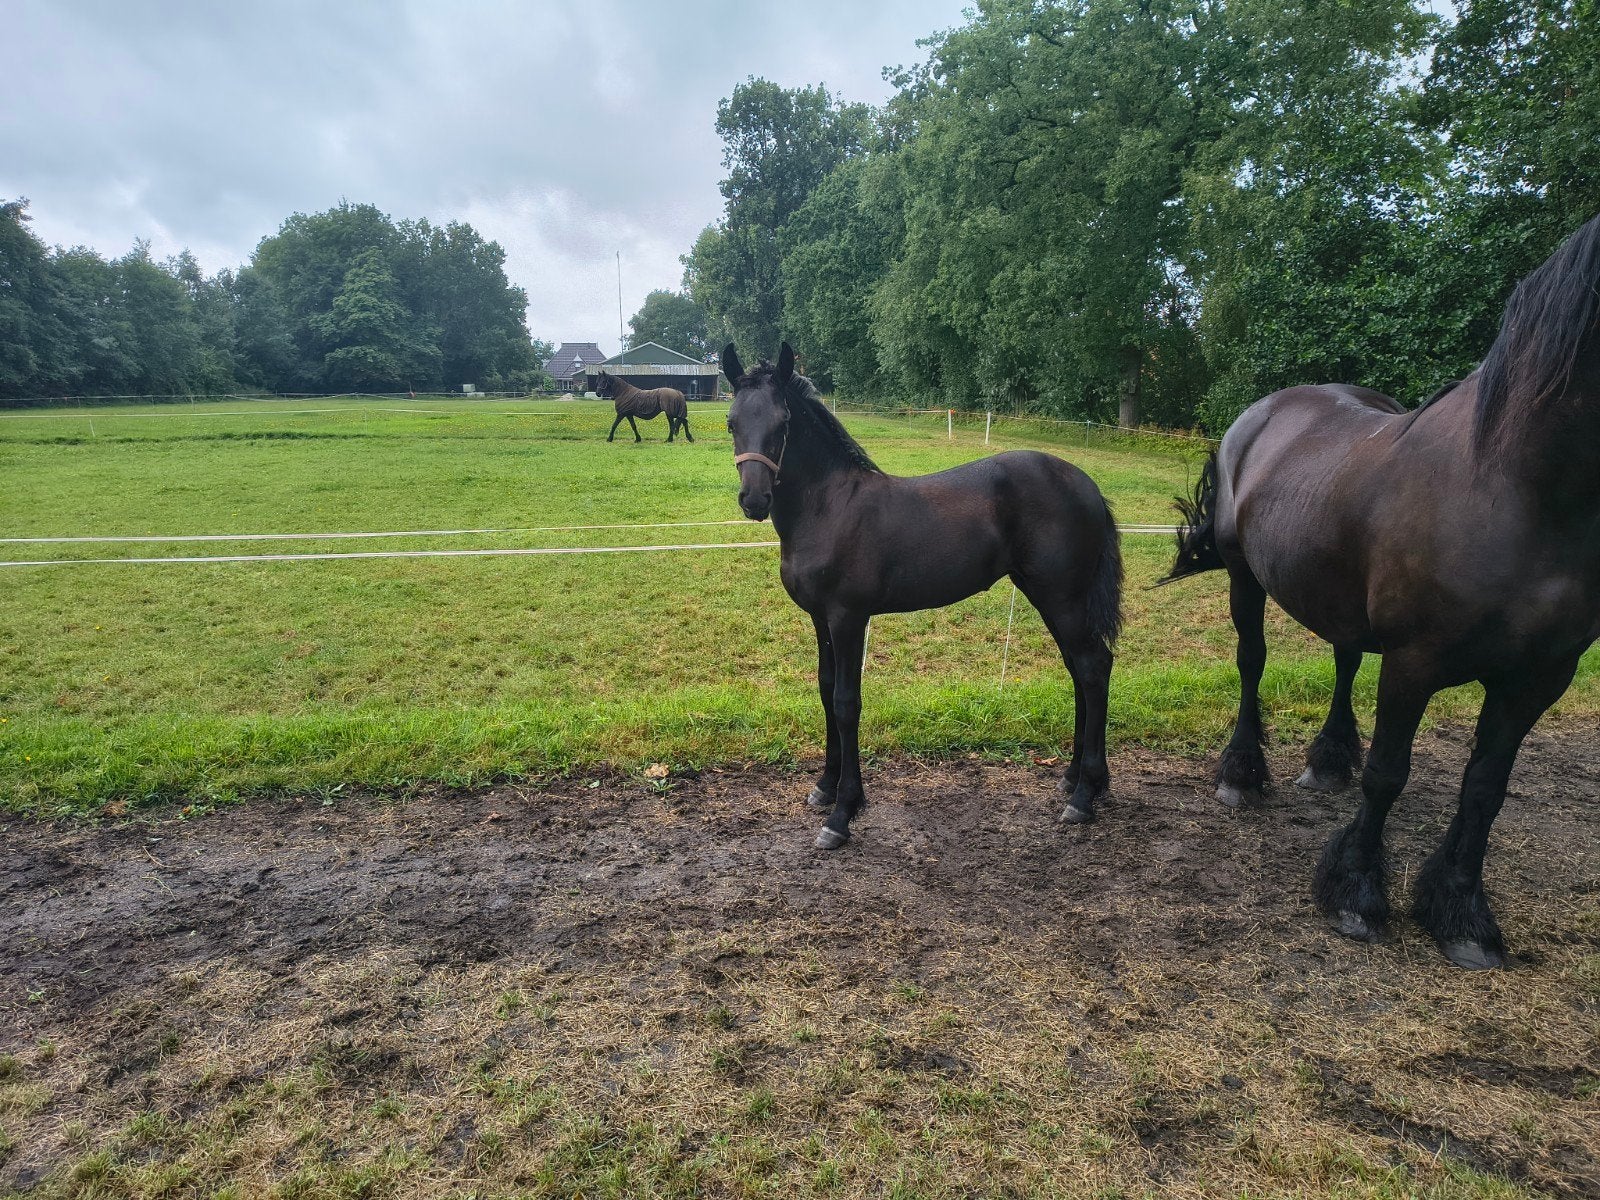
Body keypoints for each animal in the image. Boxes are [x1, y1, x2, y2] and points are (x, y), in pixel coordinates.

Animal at [724, 342, 1123, 850]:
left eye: (783, 422)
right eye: (732, 422)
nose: (754, 501)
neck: (828, 507)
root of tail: (1088, 485)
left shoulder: (848, 617)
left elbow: (846, 703)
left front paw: (842, 814)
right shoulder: (820, 618)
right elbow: (825, 689)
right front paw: (825, 787)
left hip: (1063, 598)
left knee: (1093, 668)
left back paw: (1085, 795)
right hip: (1049, 596)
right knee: (1080, 670)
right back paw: (1076, 779)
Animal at [1163, 211, 1600, 970]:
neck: (1519, 490)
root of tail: (1263, 410)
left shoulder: (1540, 677)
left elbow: (1485, 789)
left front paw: (1462, 911)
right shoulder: (1414, 663)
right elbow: (1389, 774)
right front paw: (1357, 893)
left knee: (1342, 661)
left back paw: (1329, 761)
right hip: (1248, 579)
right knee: (1252, 663)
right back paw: (1241, 774)